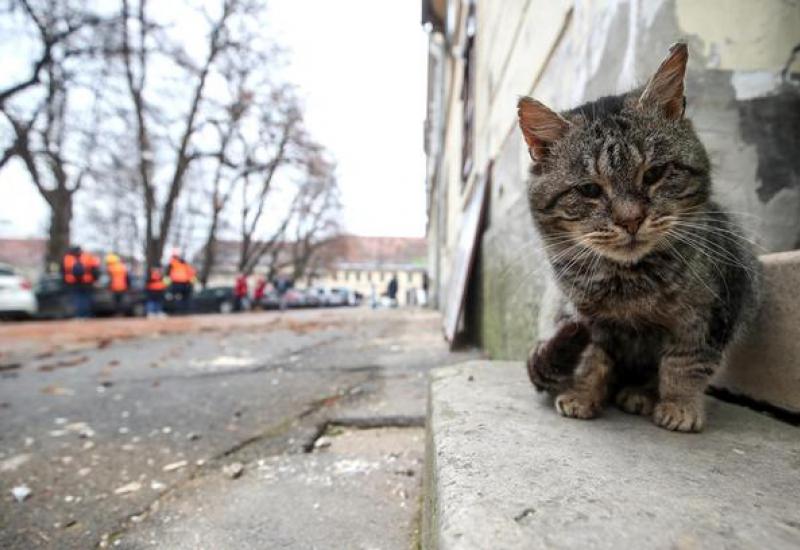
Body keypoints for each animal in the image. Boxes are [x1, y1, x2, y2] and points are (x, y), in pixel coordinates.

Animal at [520, 43, 764, 434]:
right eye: (589, 190)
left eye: (654, 174)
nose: (631, 219)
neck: (631, 283)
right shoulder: (585, 320)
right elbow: (591, 361)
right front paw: (582, 397)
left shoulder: (711, 313)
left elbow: (685, 363)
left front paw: (679, 406)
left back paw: (640, 394)